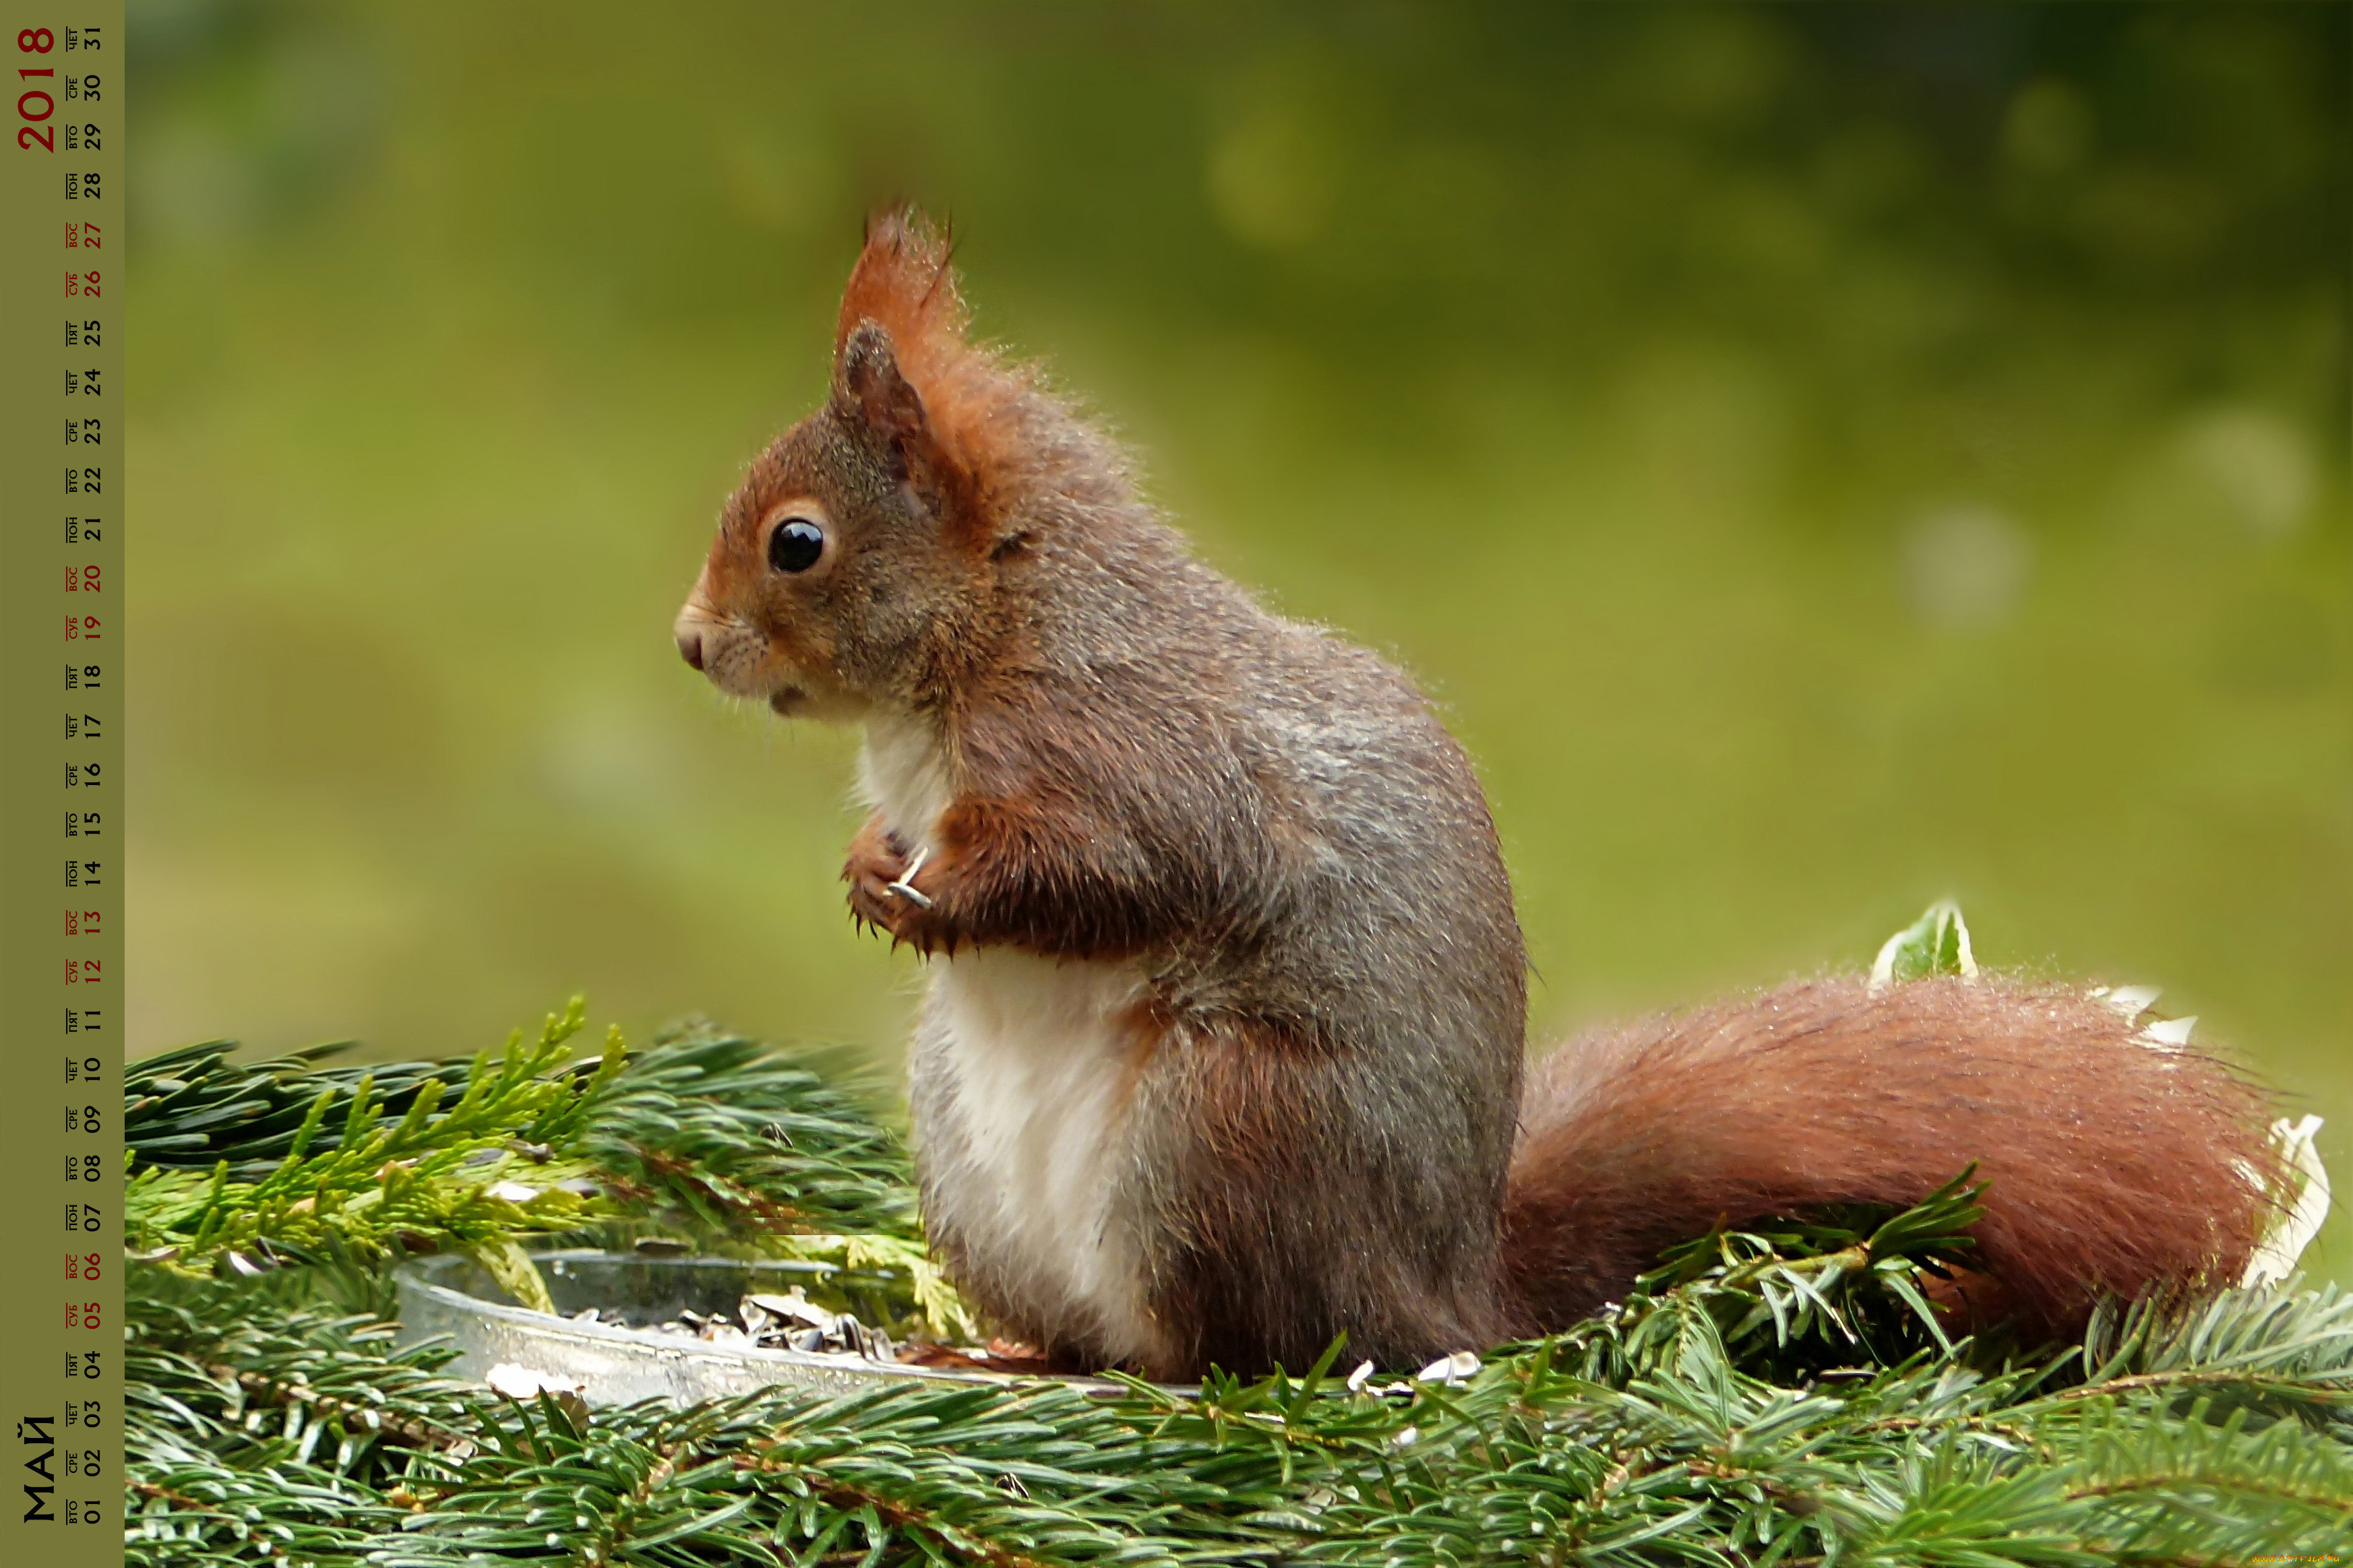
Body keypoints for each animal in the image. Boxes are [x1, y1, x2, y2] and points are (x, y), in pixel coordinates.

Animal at [673, 211, 2287, 1382]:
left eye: (798, 543)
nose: (689, 645)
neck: (987, 639)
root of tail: (1441, 1297)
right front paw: (866, 866)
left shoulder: (1136, 759)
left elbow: (1110, 874)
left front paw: (930, 891)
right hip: (972, 1151)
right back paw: (989, 1345)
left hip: (1221, 1128)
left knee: (1232, 1350)